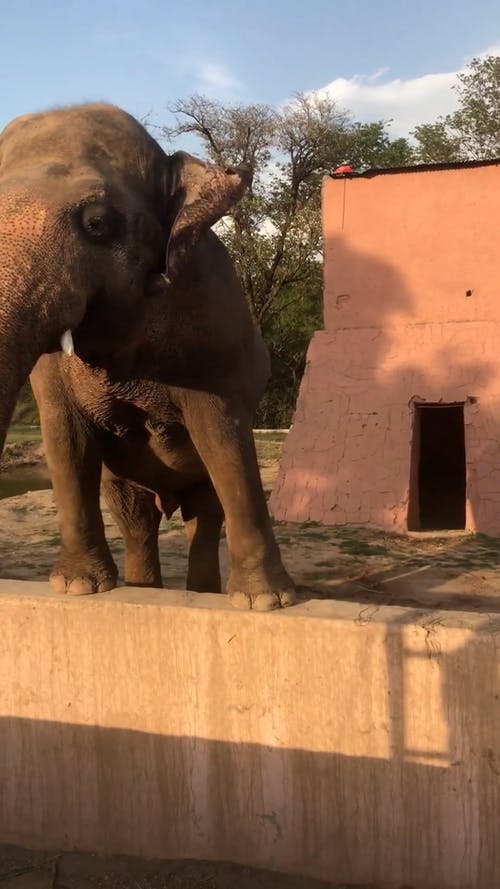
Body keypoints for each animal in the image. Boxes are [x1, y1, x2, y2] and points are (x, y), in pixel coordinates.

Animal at [0, 99, 296, 612]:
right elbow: (65, 438)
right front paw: (78, 587)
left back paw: (200, 593)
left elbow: (222, 436)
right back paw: (143, 590)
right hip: (127, 488)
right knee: (135, 515)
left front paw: (266, 602)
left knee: (204, 514)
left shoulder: (212, 326)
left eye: (98, 222)